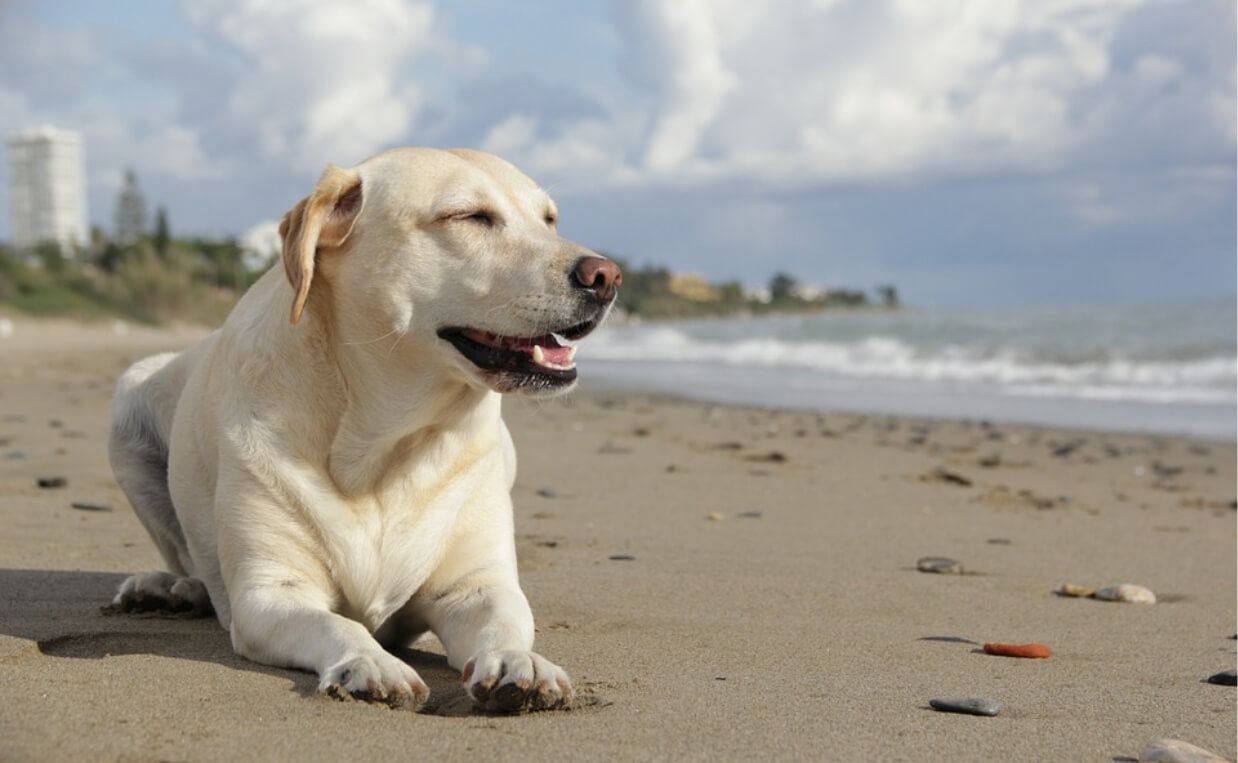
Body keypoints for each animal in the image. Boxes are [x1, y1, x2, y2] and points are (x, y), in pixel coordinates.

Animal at [108, 149, 619, 713]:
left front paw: (520, 662)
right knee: (190, 561)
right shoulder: (270, 592)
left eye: (549, 220)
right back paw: (169, 589)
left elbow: (505, 622)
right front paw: (371, 661)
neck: (385, 447)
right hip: (128, 399)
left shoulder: (476, 585)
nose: (607, 275)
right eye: (469, 216)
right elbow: (337, 625)